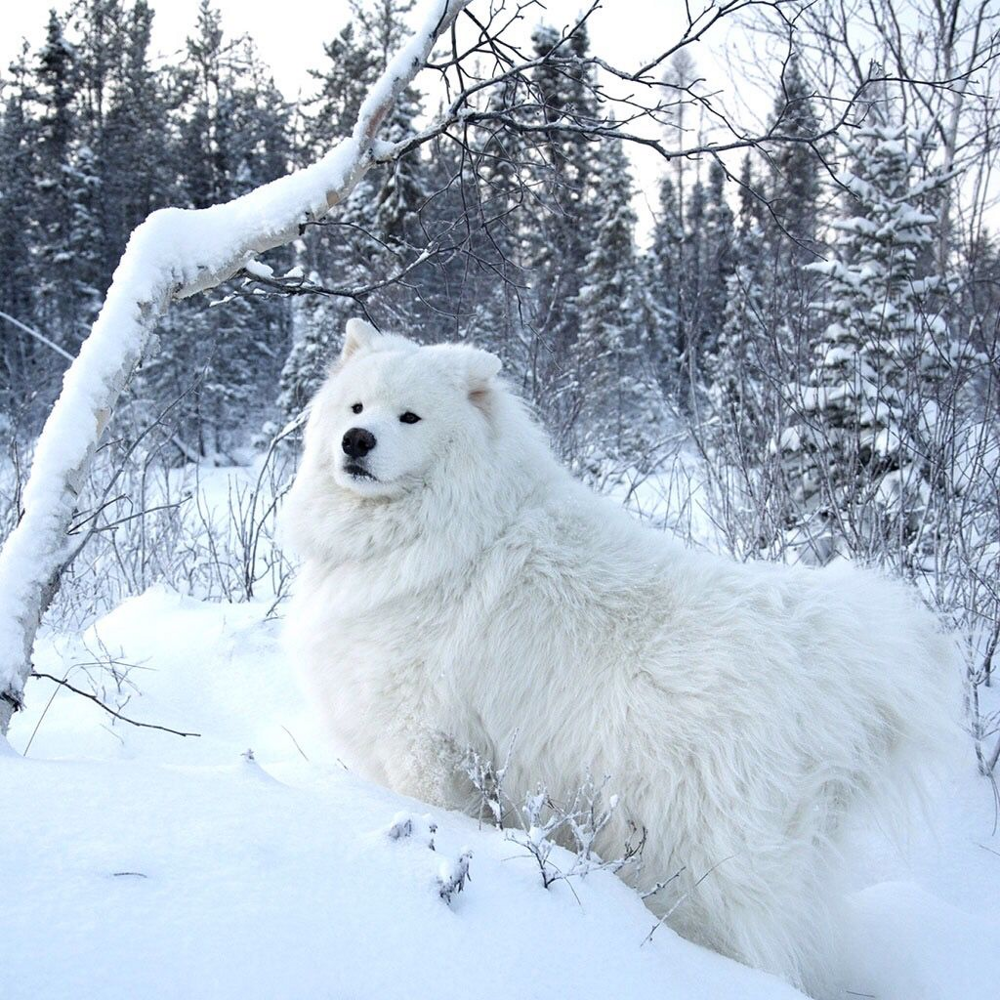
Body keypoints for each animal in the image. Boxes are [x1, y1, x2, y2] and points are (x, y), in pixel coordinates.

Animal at [284, 318, 960, 992]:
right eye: (356, 407)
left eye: (411, 416)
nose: (356, 440)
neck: (437, 528)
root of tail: (821, 648)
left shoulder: (422, 741)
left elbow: (430, 813)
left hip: (695, 854)